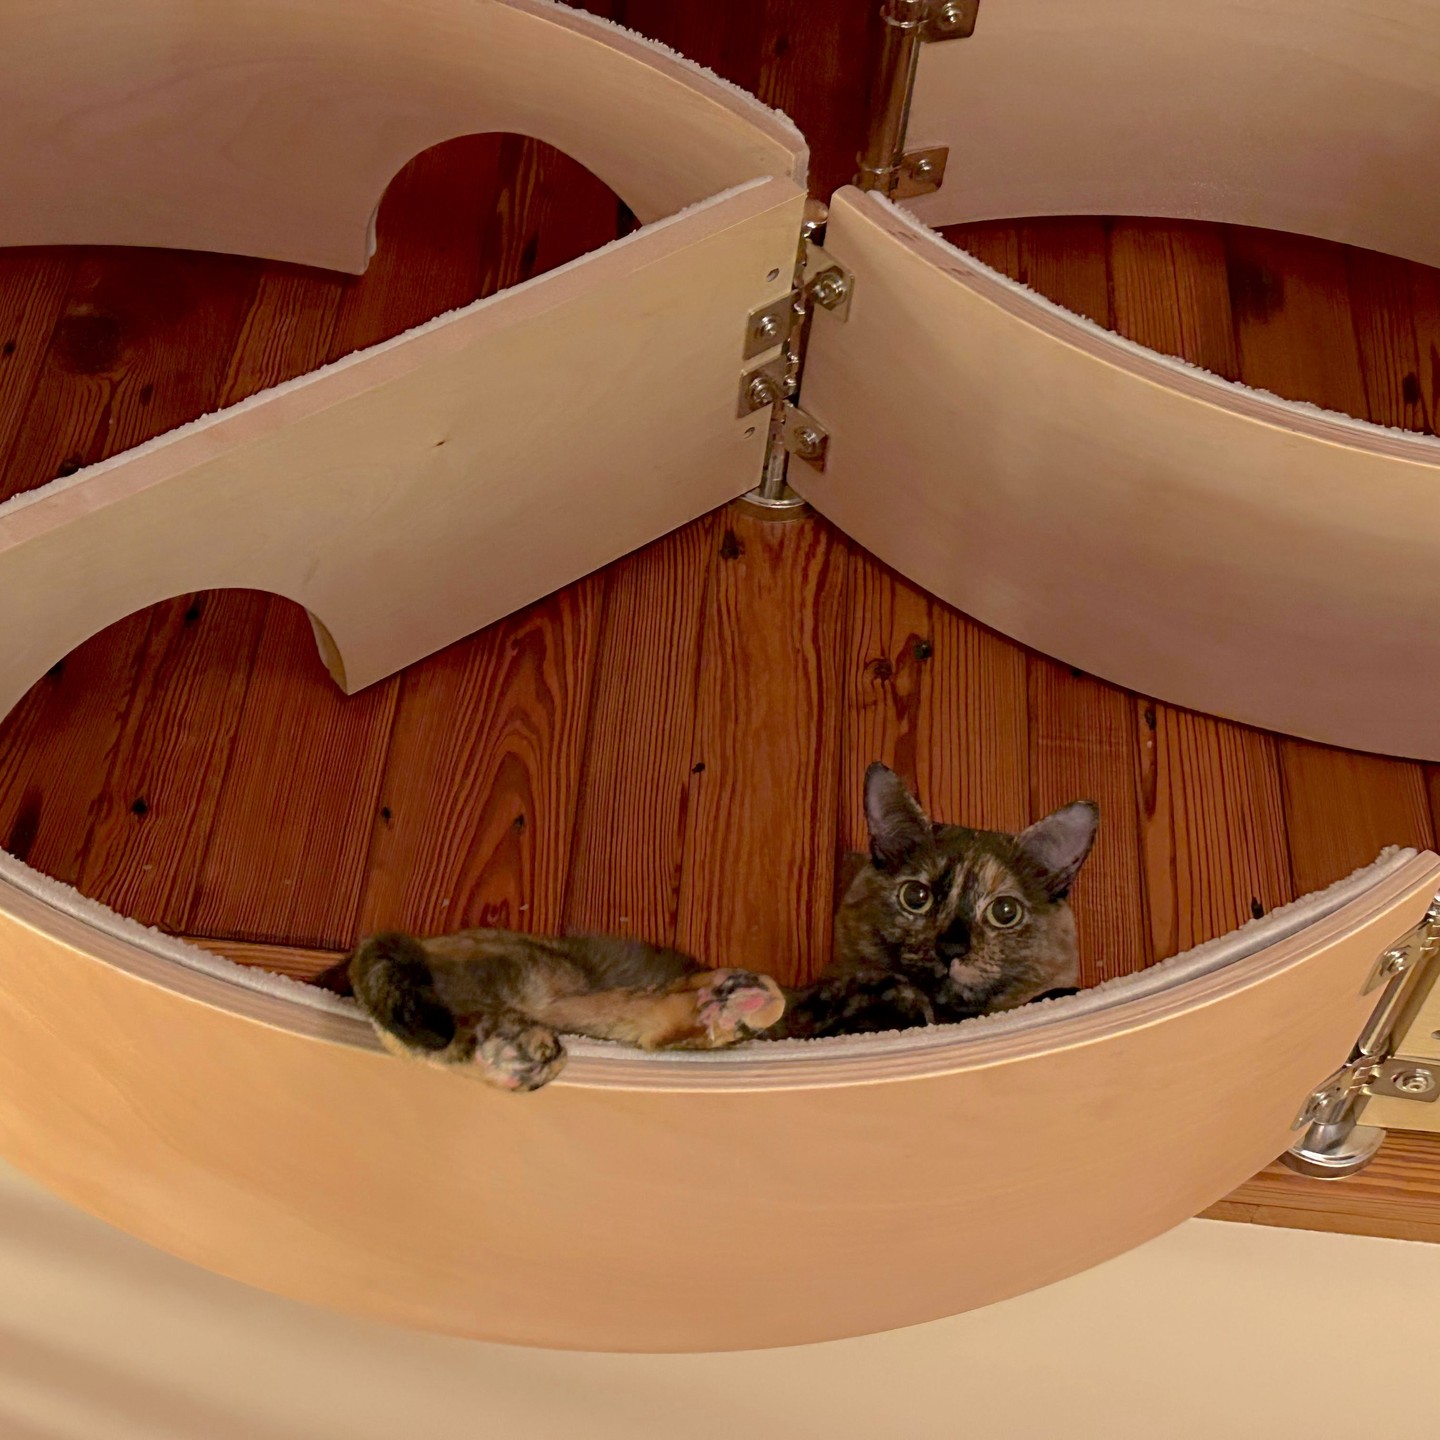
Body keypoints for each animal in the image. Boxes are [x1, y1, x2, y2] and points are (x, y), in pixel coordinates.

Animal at [326, 764, 1098, 1089]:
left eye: (1004, 911)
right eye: (916, 896)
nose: (952, 945)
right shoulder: (830, 1005)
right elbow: (880, 999)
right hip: (524, 965)